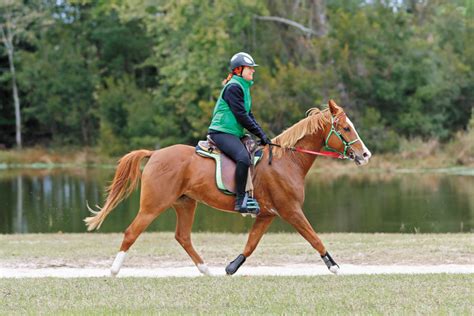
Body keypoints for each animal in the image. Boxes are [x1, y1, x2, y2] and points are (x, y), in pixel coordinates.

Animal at [87, 100, 372, 276]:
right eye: (345, 128)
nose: (366, 154)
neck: (286, 160)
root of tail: (155, 153)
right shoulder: (291, 210)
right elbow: (314, 237)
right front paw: (334, 266)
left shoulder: (267, 215)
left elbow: (251, 245)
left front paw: (231, 267)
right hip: (153, 205)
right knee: (131, 232)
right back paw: (114, 270)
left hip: (185, 203)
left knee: (183, 237)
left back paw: (205, 270)